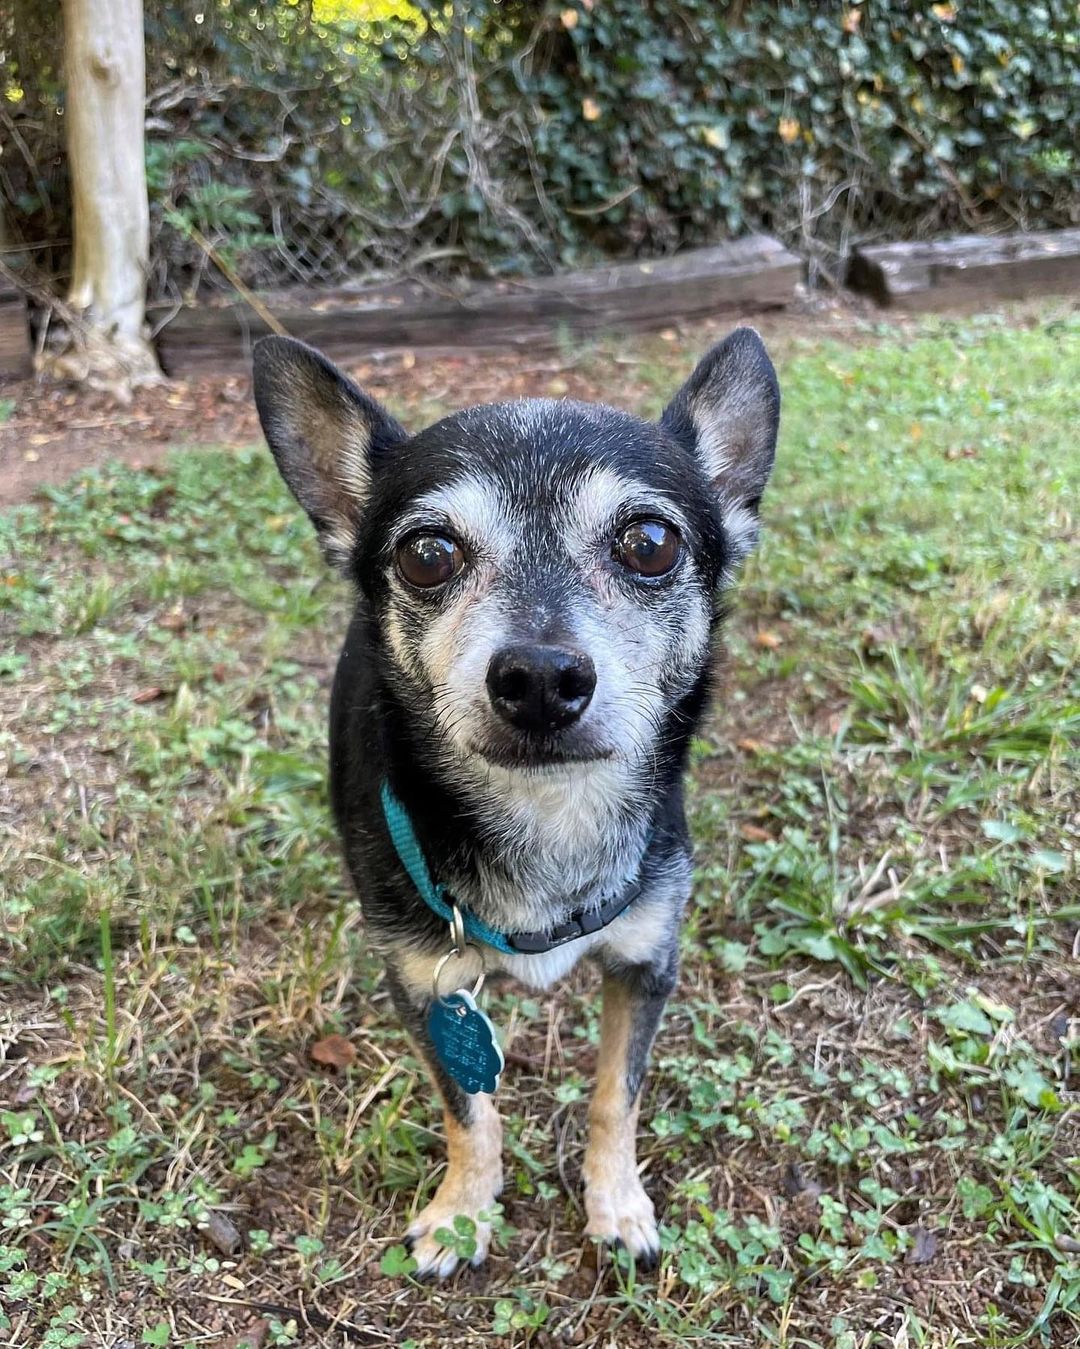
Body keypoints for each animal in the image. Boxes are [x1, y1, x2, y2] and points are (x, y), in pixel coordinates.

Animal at [253, 329, 776, 1273]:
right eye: (427, 554)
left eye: (650, 542)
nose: (538, 676)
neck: (550, 811)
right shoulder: (427, 990)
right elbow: (470, 1113)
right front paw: (463, 1211)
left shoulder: (646, 964)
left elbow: (616, 1095)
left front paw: (616, 1203)